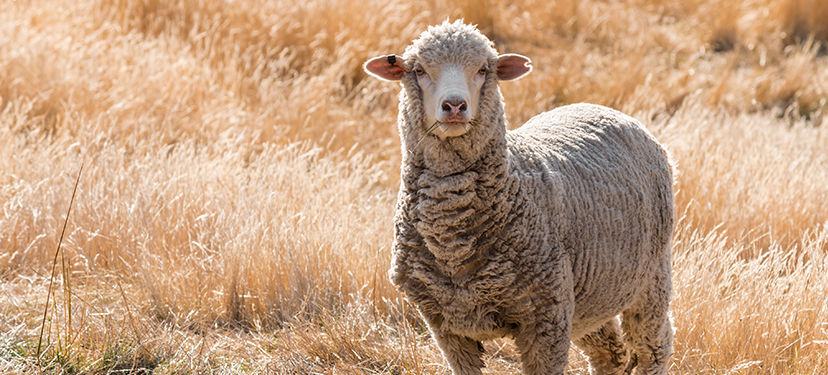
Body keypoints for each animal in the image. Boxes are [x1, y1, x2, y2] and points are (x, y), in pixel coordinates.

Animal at [362, 20, 672, 375]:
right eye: (419, 70)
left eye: (483, 70)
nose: (454, 106)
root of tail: (601, 107)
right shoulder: (446, 325)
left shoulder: (546, 318)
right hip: (591, 294)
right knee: (610, 353)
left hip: (651, 276)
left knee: (653, 347)